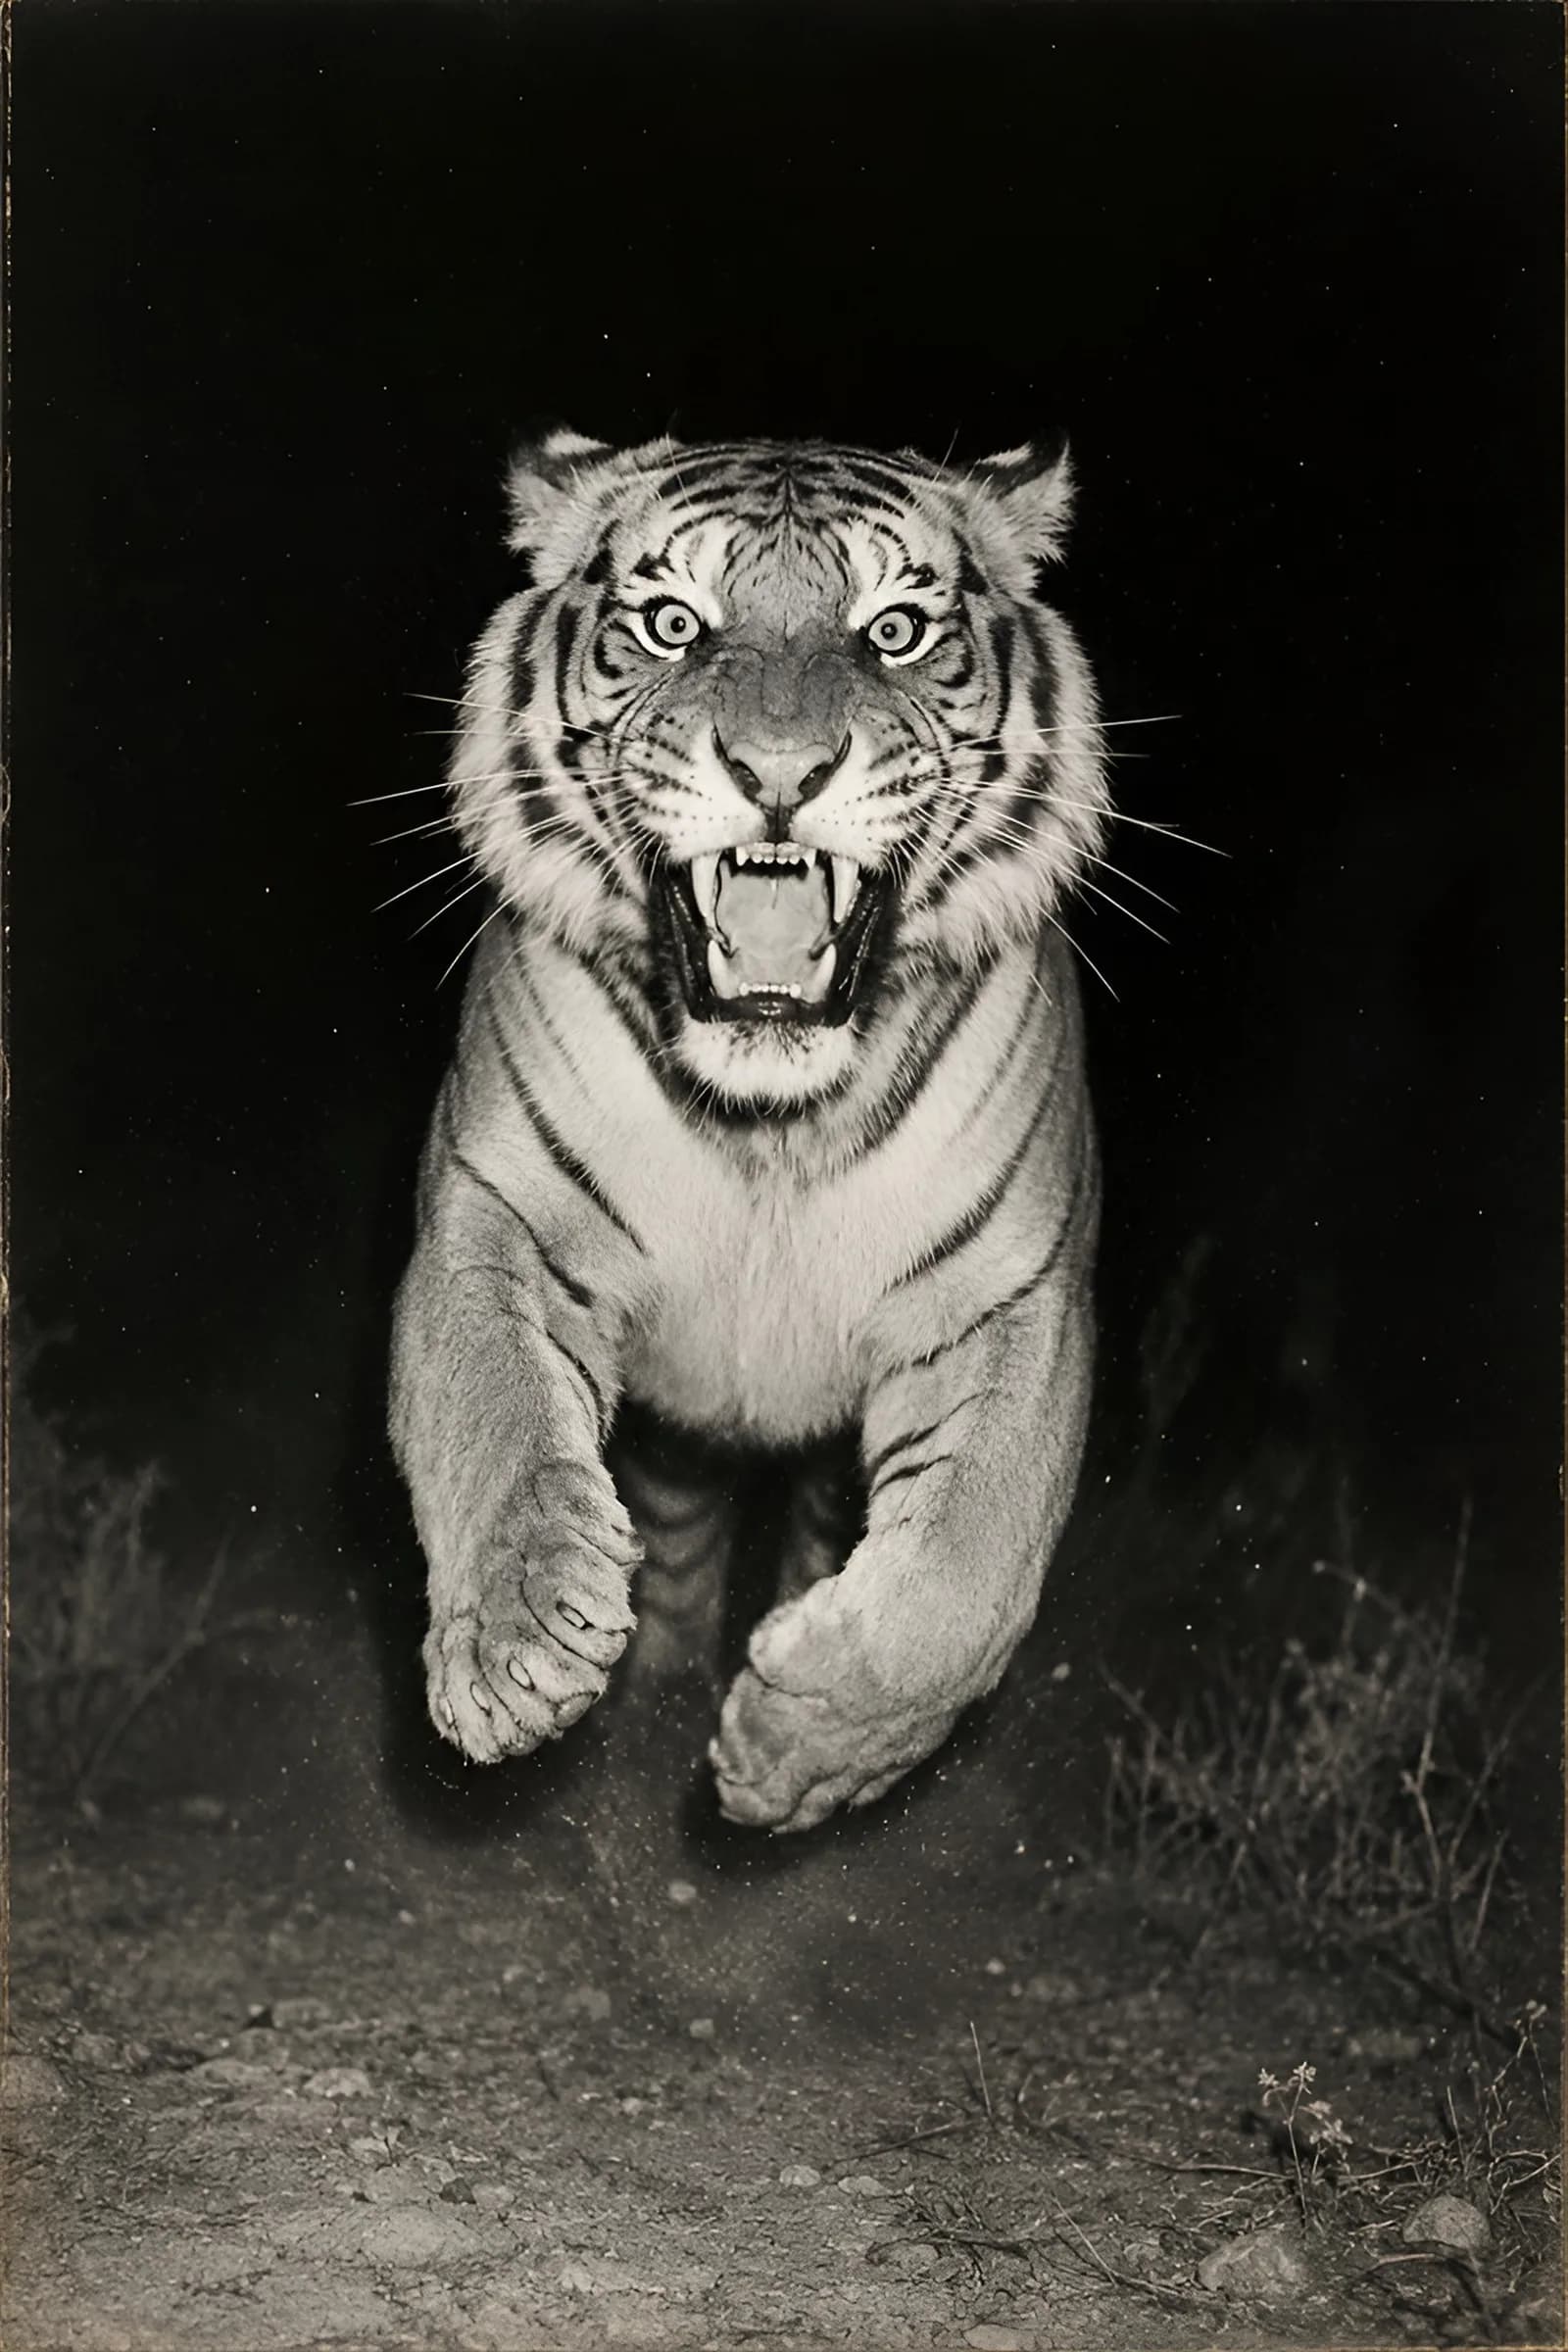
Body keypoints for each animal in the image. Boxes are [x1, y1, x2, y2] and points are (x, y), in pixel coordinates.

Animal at [389, 428, 1107, 1834]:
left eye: (894, 631)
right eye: (674, 623)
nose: (779, 778)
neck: (770, 1123)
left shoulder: (1012, 1302)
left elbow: (968, 1568)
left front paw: (802, 1744)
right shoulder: (493, 1206)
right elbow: (489, 1406)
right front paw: (519, 1645)